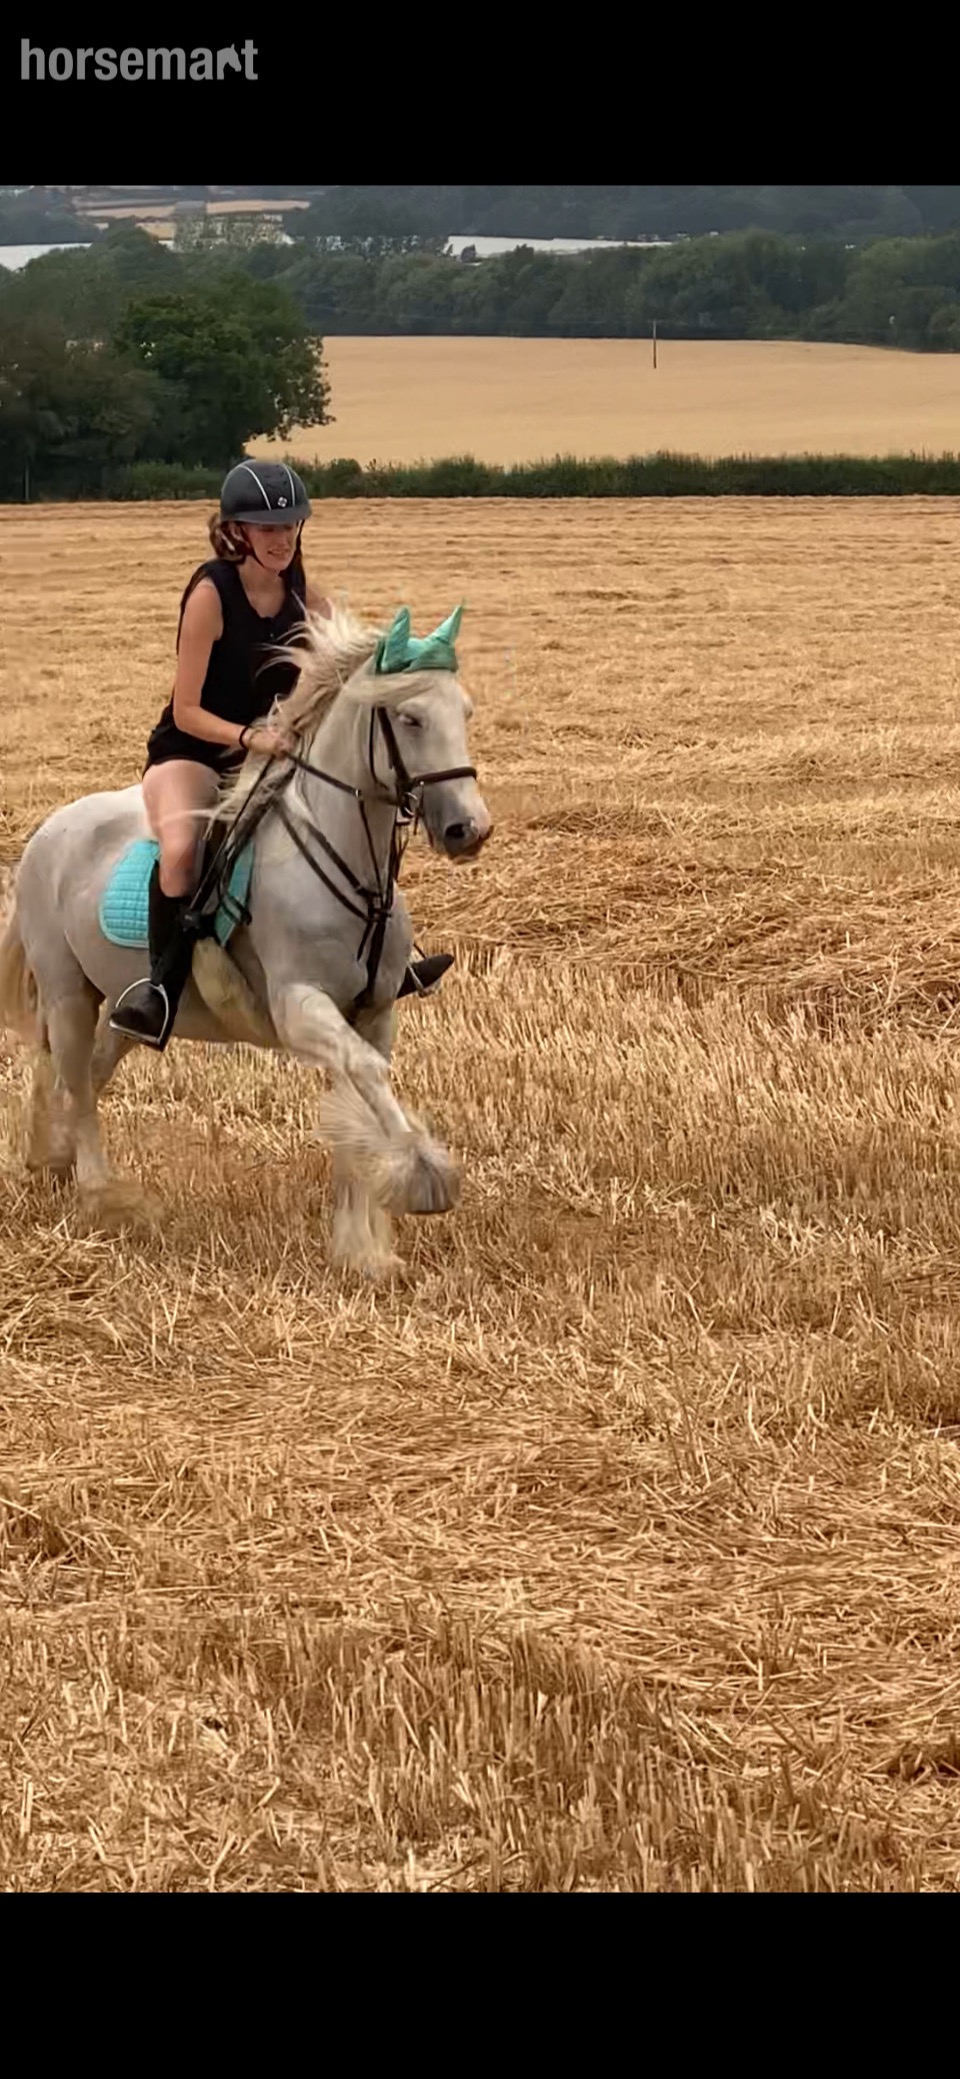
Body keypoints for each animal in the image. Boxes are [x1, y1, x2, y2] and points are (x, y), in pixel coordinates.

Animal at [0, 604, 492, 1280]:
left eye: (464, 712)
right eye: (410, 718)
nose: (469, 829)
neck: (351, 872)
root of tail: (47, 831)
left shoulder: (371, 1015)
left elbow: (360, 1097)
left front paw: (364, 1251)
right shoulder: (300, 1007)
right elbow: (368, 1083)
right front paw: (425, 1178)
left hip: (119, 1008)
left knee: (86, 1075)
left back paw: (52, 1161)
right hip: (68, 993)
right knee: (72, 1075)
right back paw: (102, 1196)